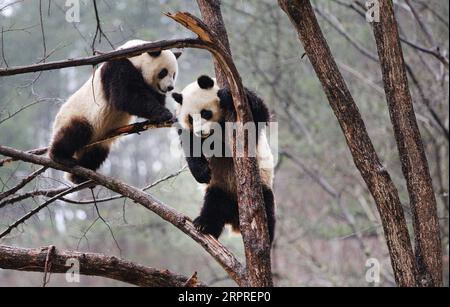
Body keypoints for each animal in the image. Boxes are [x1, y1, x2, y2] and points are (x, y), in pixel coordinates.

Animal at [49, 39, 181, 184]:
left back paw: (79, 176)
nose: (170, 87)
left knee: (95, 153)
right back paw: (60, 157)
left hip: (100, 140)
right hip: (77, 115)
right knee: (76, 131)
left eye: (174, 74)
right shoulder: (117, 67)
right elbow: (126, 96)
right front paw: (164, 114)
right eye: (163, 72)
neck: (135, 58)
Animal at [172, 76, 276, 244]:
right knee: (213, 205)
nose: (201, 132)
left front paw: (226, 95)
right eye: (190, 119)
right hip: (220, 189)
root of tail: (234, 220)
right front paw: (202, 173)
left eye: (205, 113)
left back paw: (267, 237)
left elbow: (259, 114)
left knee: (267, 209)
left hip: (262, 186)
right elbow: (191, 145)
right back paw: (204, 224)